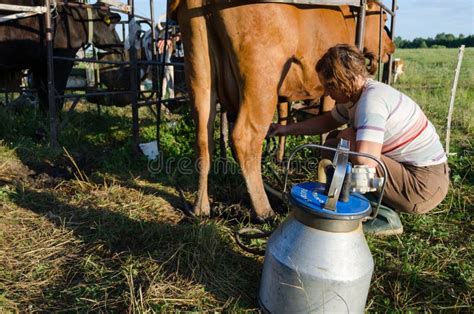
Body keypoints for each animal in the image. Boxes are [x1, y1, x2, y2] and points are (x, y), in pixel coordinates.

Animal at [168, 0, 394, 220]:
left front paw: (279, 157)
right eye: (383, 19)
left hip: (199, 69)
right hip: (262, 76)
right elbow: (325, 128)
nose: (391, 48)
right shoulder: (330, 90)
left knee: (203, 139)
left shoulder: (285, 96)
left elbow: (285, 119)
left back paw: (200, 207)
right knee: (245, 138)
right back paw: (264, 210)